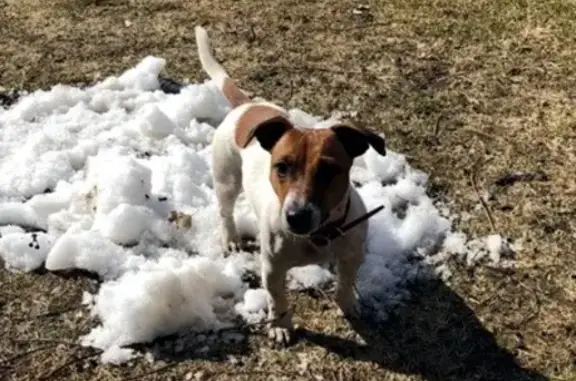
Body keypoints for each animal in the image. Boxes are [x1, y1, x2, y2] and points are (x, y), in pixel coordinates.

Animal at [195, 25, 388, 342]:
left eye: (329, 170)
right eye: (281, 167)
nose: (296, 217)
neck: (317, 237)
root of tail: (247, 107)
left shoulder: (351, 255)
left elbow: (346, 282)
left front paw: (348, 304)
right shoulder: (273, 268)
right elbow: (277, 299)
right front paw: (281, 327)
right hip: (226, 179)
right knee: (225, 211)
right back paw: (231, 238)